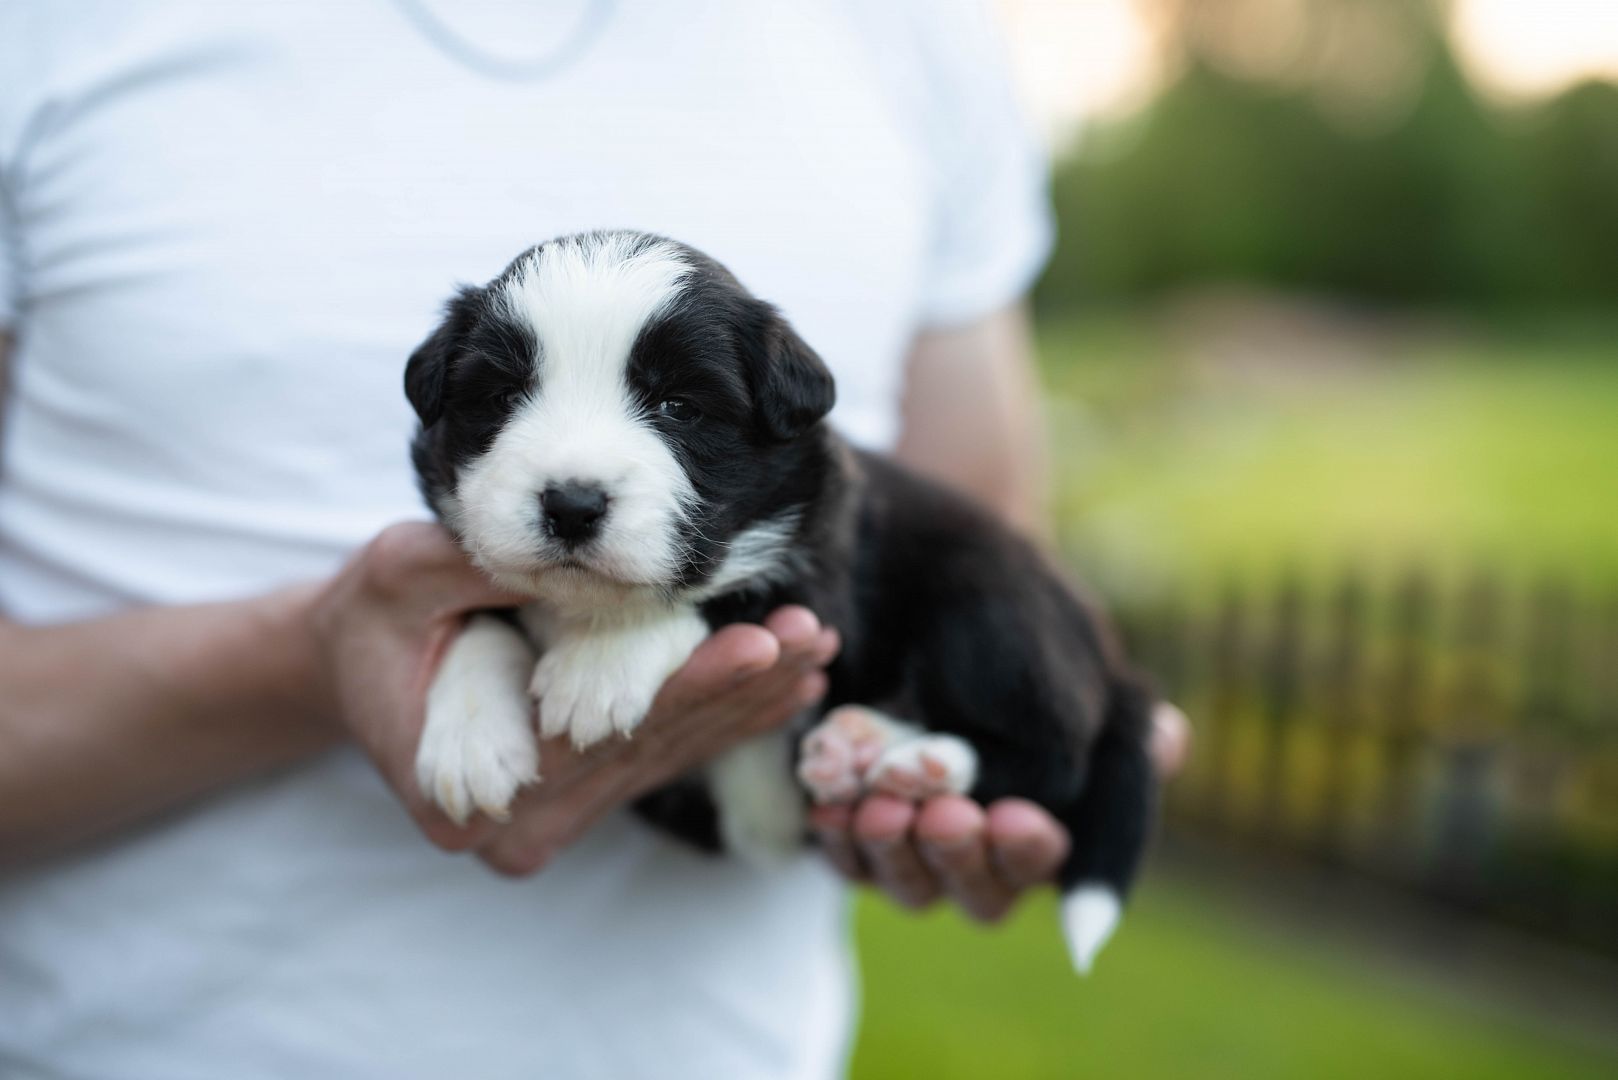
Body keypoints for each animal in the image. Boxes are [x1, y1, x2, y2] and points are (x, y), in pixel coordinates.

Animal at [404, 233, 1164, 977]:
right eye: (503, 397)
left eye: (680, 407)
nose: (571, 504)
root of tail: (1115, 663)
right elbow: (483, 614)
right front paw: (470, 738)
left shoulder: (826, 579)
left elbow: (722, 595)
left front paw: (600, 663)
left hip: (987, 613)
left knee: (1054, 759)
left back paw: (908, 760)